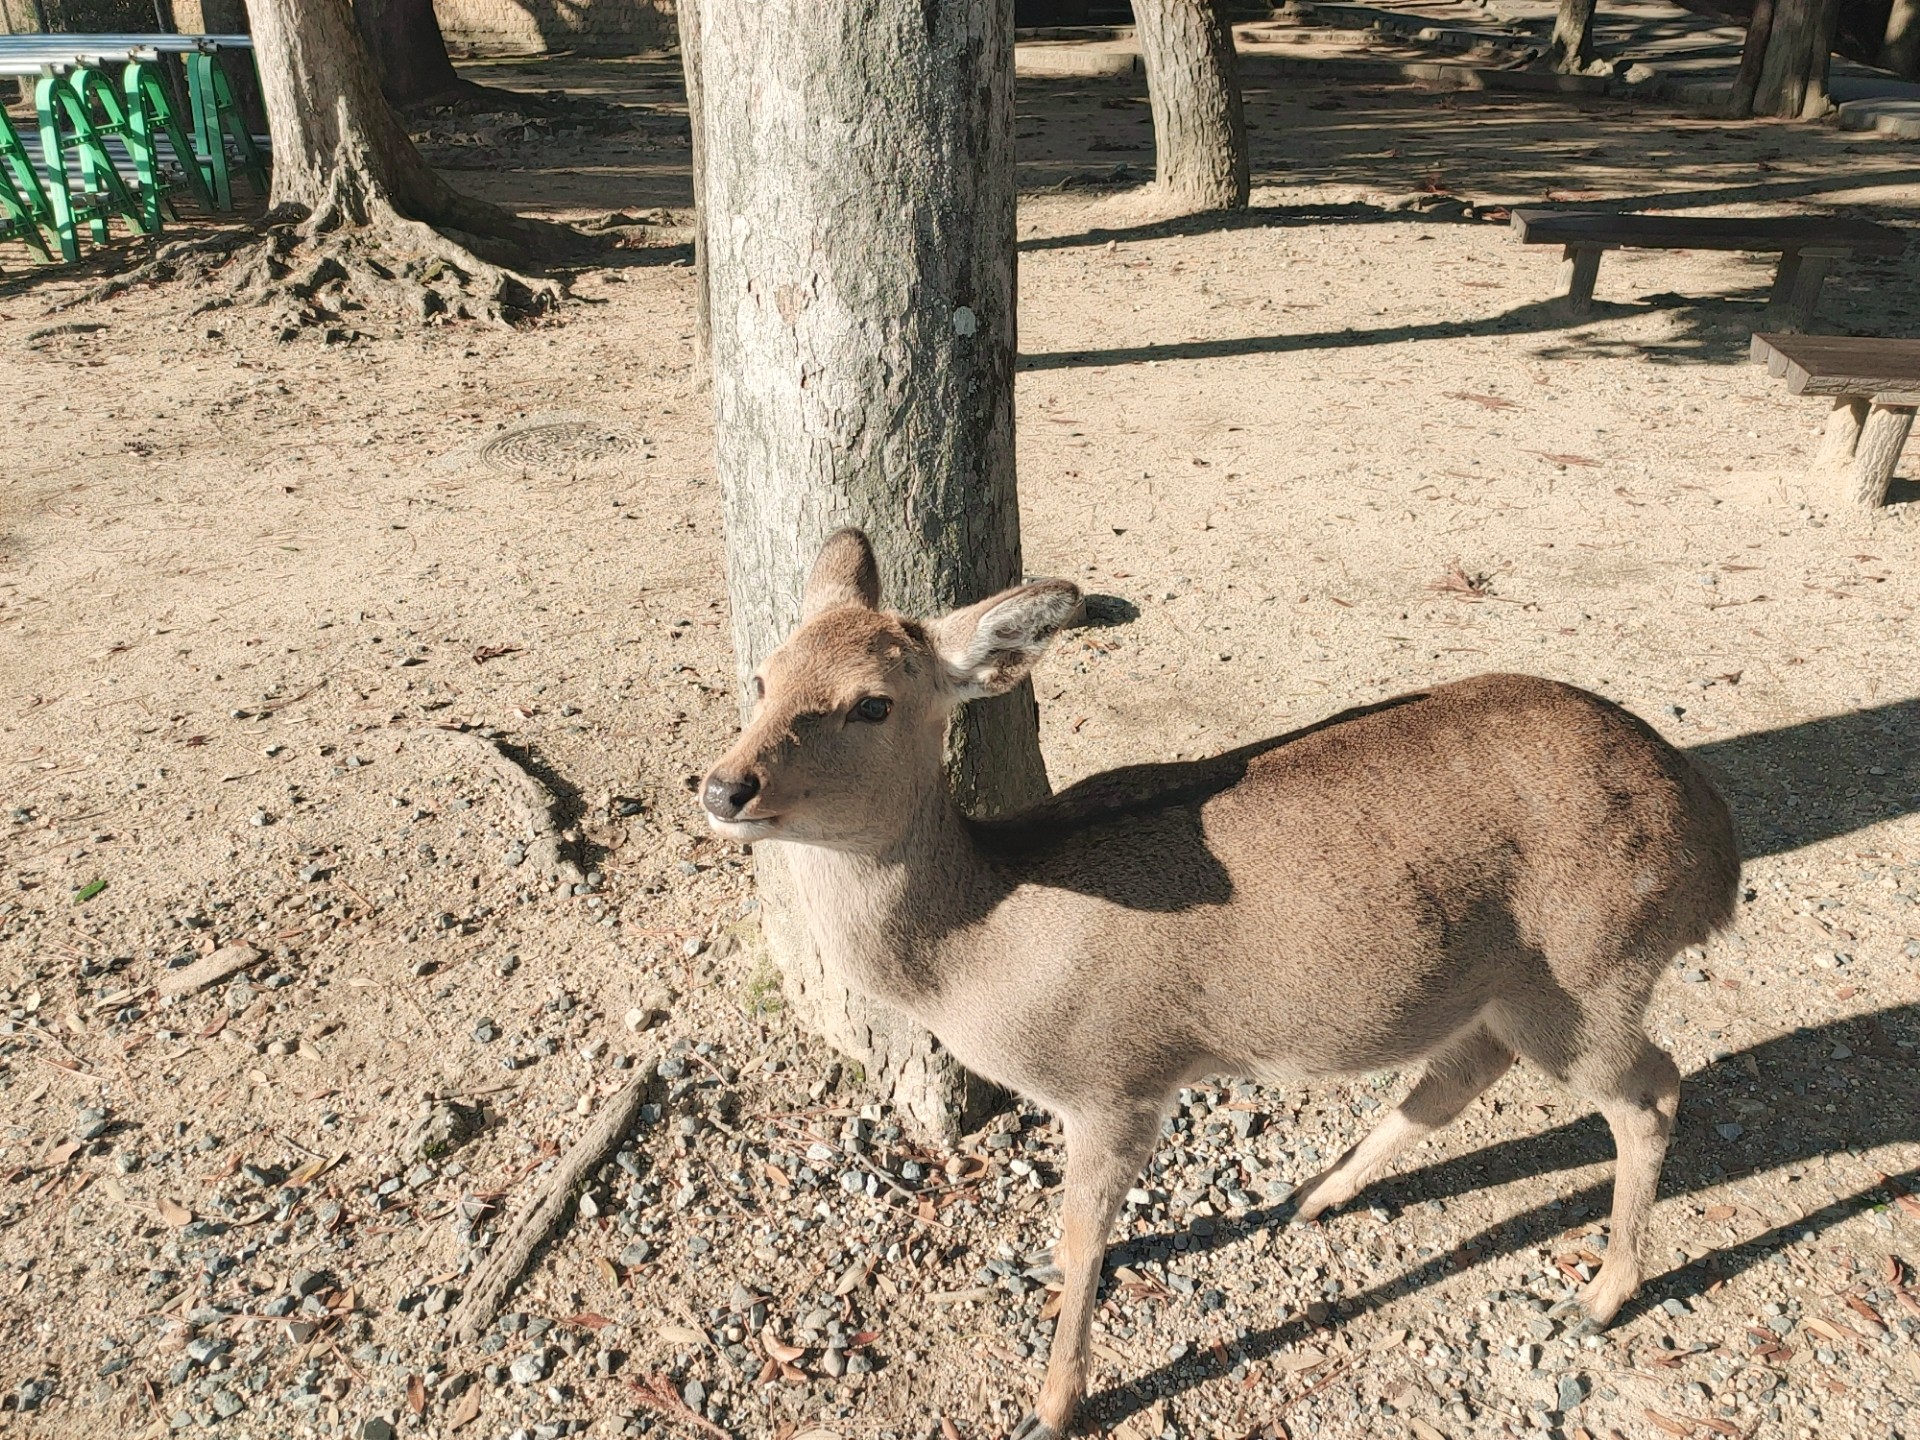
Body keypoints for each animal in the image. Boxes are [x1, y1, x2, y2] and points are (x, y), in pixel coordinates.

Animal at [702, 533, 1743, 1440]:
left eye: (873, 704)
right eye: (762, 676)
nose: (725, 787)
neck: (976, 955)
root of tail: (1714, 846)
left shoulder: (1117, 1081)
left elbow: (1084, 1233)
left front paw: (1051, 1408)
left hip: (1588, 972)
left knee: (1651, 1089)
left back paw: (1597, 1300)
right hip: (1499, 987)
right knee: (1462, 1072)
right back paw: (1313, 1194)